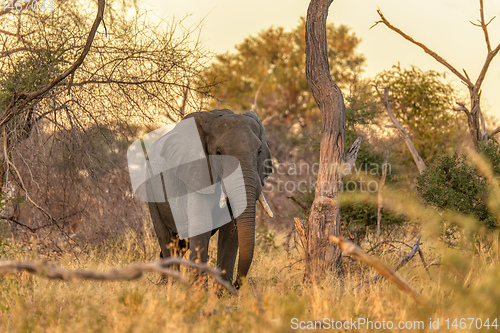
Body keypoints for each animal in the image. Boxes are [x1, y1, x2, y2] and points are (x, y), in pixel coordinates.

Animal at [141, 109, 274, 288]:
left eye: (259, 151)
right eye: (218, 153)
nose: (237, 284)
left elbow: (231, 233)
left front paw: (223, 292)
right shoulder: (196, 173)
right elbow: (201, 225)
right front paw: (199, 292)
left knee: (180, 244)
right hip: (152, 190)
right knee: (167, 238)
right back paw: (169, 286)